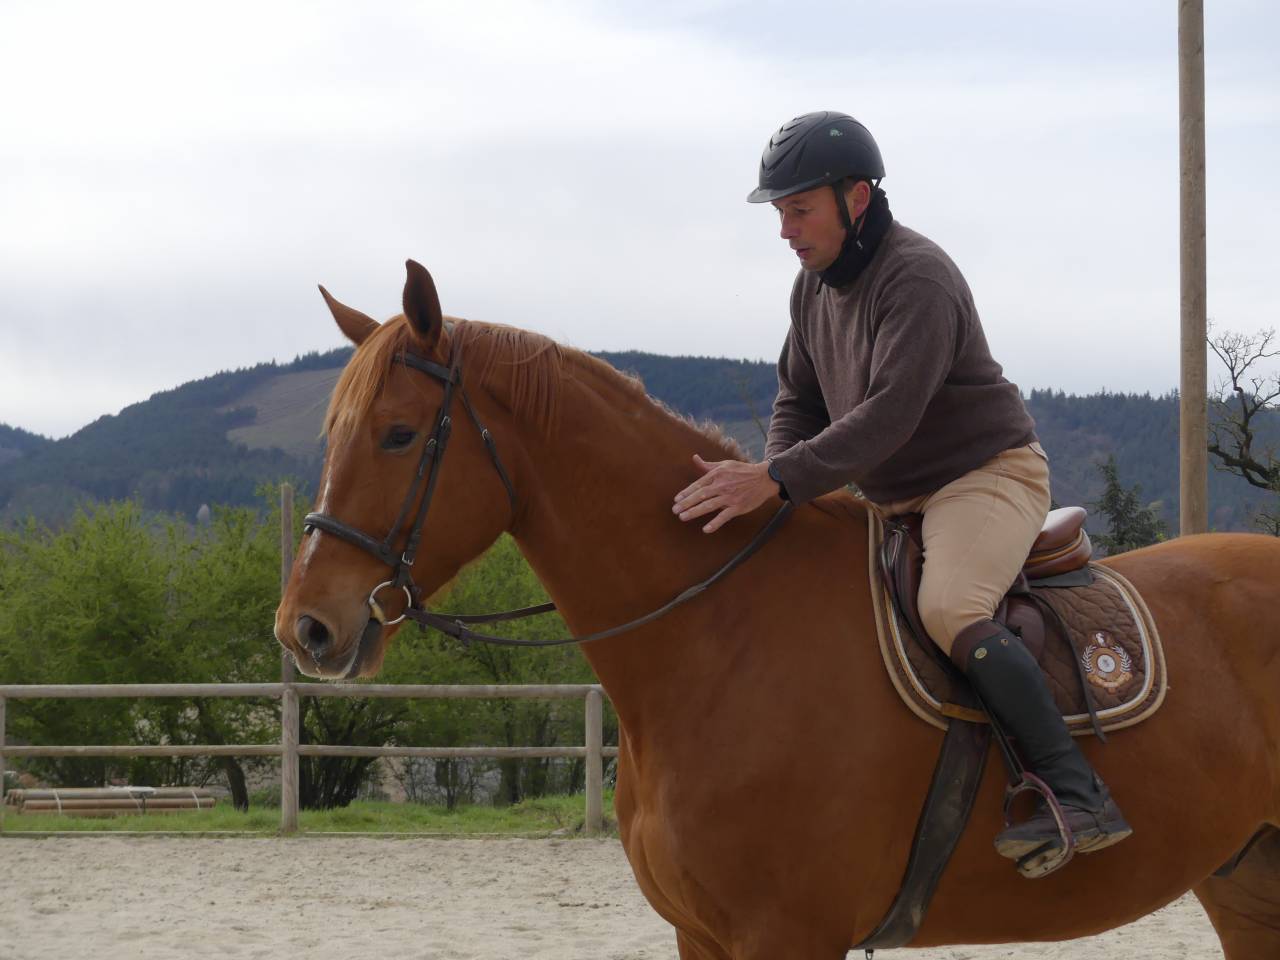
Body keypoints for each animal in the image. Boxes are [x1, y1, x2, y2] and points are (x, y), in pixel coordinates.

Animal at [275, 260, 1280, 959]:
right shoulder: (703, 936)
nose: (306, 627)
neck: (718, 630)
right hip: (1245, 883)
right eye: (332, 432)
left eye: (399, 434)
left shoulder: (787, 934)